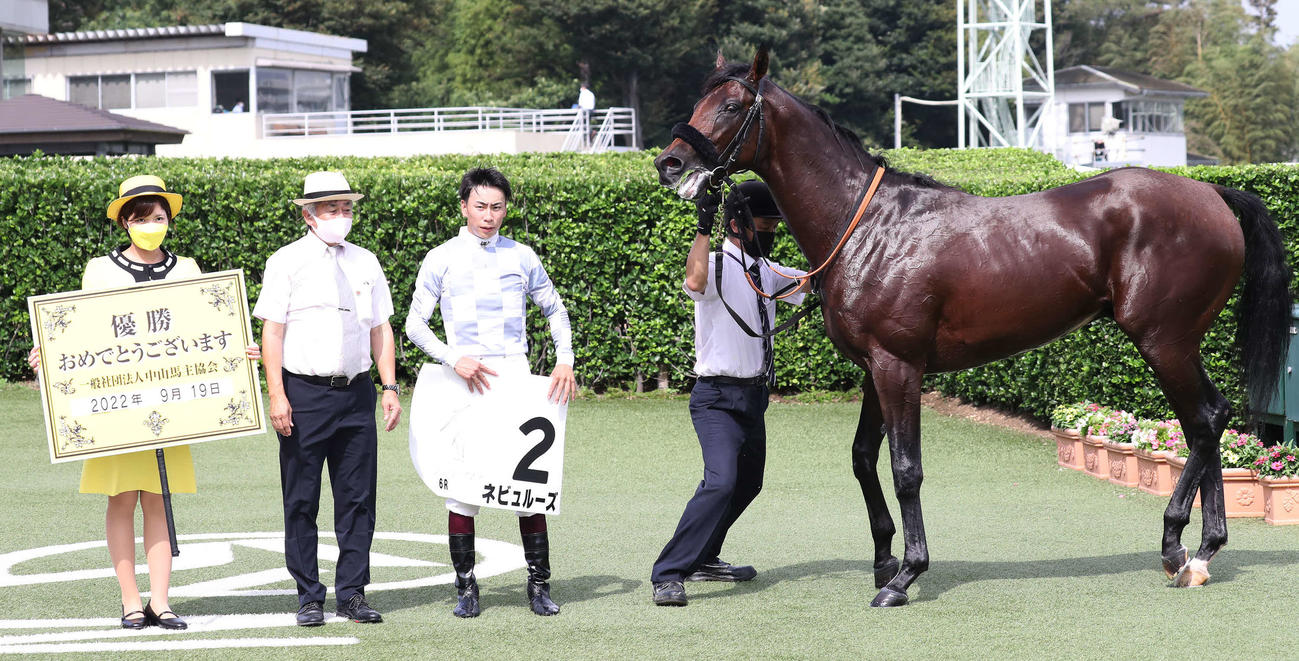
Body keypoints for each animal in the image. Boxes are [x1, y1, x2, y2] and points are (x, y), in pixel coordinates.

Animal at [654, 48, 1291, 607]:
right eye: (699, 100)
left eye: (732, 105)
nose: (669, 163)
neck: (867, 224)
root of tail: (1211, 191)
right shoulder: (874, 369)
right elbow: (862, 457)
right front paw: (884, 558)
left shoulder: (899, 368)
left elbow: (905, 469)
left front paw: (904, 576)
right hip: (1177, 343)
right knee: (1210, 420)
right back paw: (1203, 552)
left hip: (1163, 340)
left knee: (1203, 422)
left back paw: (1178, 548)